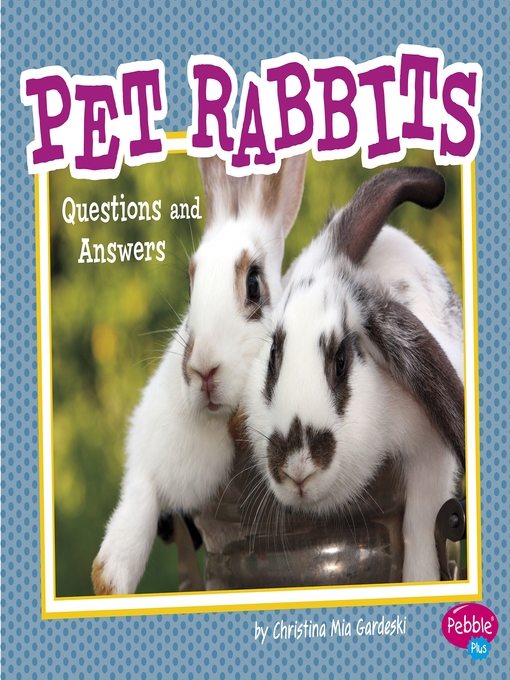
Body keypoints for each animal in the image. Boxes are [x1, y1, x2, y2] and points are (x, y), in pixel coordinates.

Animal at [92, 153, 308, 595]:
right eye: (190, 287)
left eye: (254, 284)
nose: (203, 370)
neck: (211, 419)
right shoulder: (146, 452)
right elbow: (138, 502)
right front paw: (108, 581)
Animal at [240, 166, 465, 584]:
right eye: (273, 356)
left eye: (341, 361)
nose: (298, 469)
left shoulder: (430, 459)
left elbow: (420, 528)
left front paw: (419, 578)